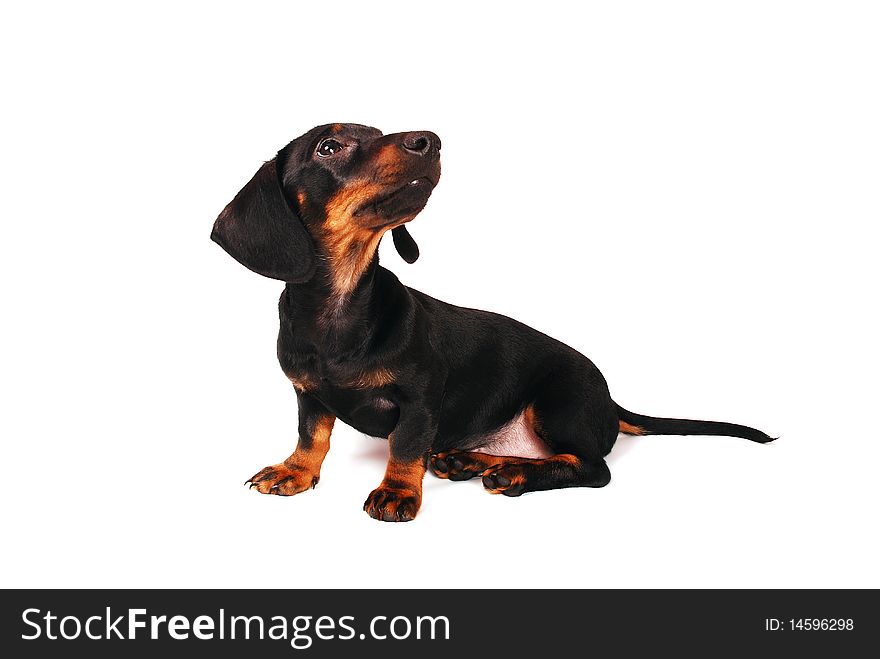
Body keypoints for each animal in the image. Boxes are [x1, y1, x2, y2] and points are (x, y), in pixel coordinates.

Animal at [211, 124, 768, 524]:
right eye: (329, 146)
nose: (429, 140)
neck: (341, 310)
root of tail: (610, 401)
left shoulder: (419, 399)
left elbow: (405, 446)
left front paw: (397, 491)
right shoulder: (307, 393)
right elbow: (312, 437)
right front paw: (294, 472)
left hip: (558, 403)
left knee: (592, 468)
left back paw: (513, 476)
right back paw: (476, 462)